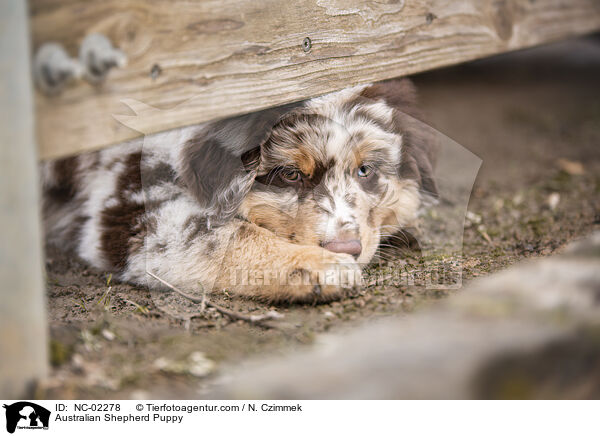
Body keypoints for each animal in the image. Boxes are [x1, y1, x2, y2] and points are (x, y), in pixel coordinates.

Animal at [41, 78, 436, 302]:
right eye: (290, 174)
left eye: (365, 170)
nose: (346, 250)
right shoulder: (130, 209)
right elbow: (222, 237)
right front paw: (320, 268)